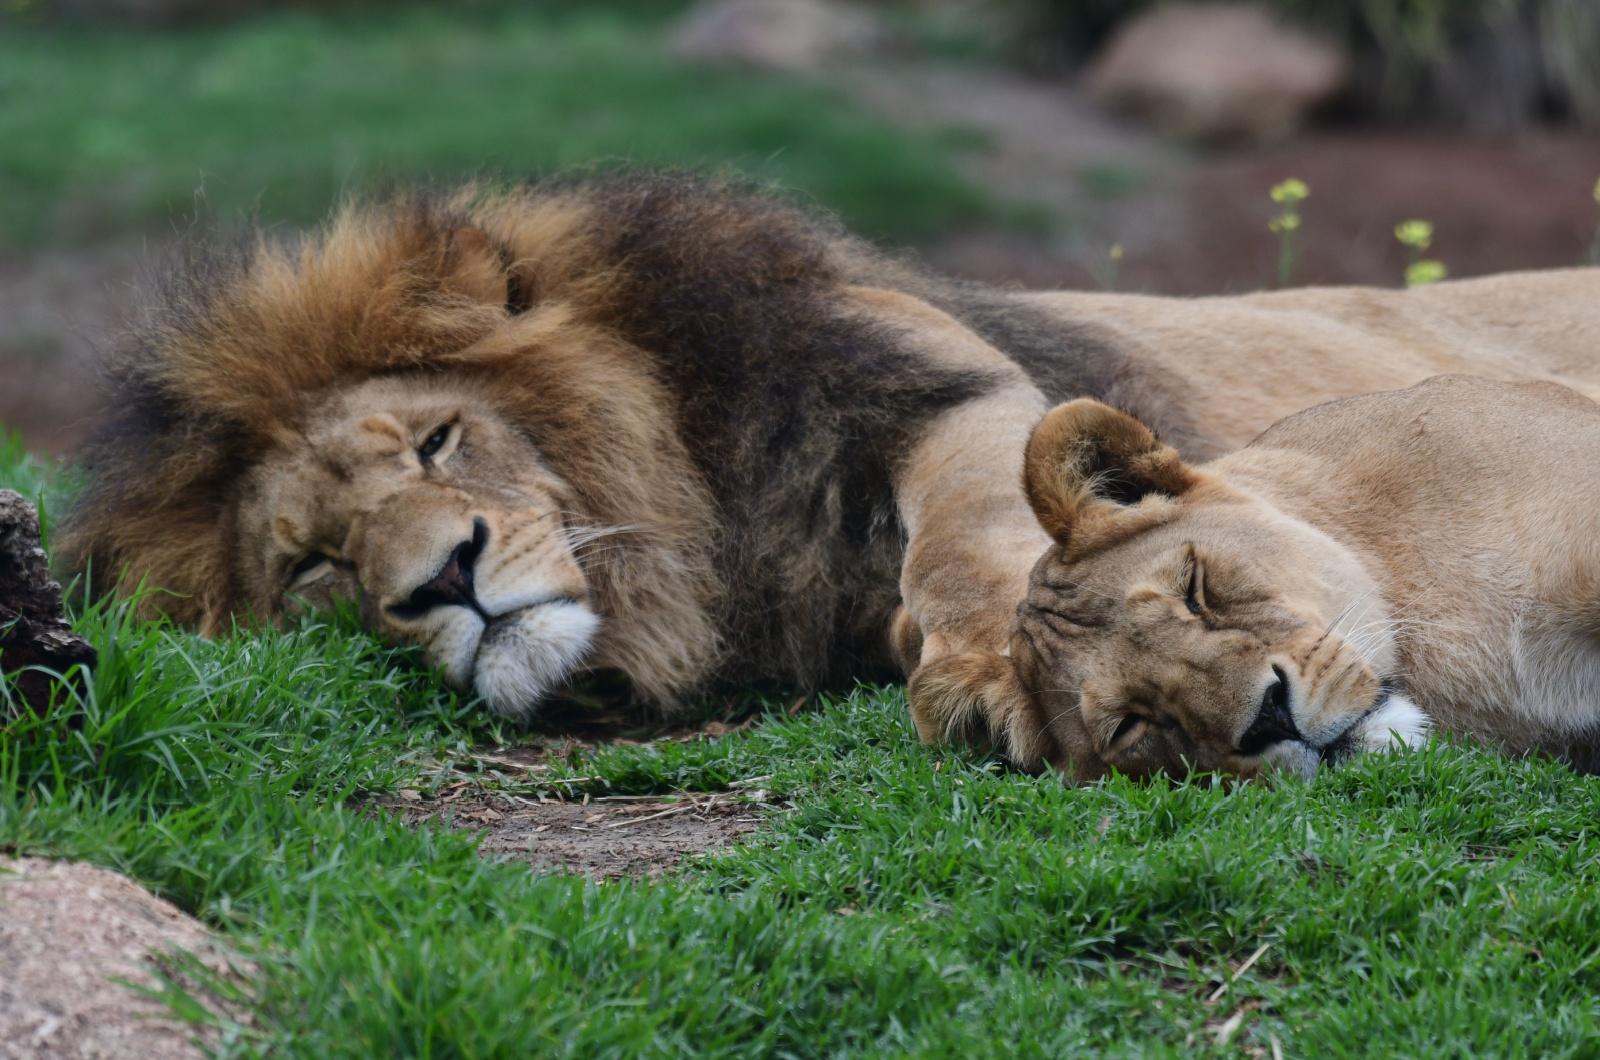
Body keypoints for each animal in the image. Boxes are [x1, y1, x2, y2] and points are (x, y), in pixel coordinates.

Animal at [62, 176, 1600, 739]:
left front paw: (977, 672)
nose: (441, 581)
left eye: (437, 438)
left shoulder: (917, 378)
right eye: (314, 569)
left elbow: (969, 532)